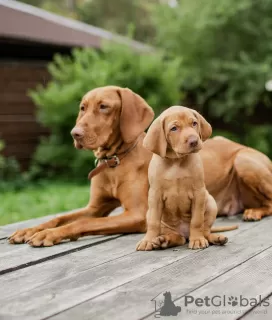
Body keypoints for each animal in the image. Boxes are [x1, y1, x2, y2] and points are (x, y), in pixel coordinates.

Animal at [8, 86, 154, 246]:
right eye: (83, 108)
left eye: (104, 106)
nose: (74, 133)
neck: (113, 162)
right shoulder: (94, 208)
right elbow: (59, 218)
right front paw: (29, 230)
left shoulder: (137, 214)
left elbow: (84, 222)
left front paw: (49, 233)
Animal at [137, 106, 228, 251]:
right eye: (174, 128)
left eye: (194, 123)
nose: (194, 141)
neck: (176, 162)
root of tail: (185, 233)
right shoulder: (155, 195)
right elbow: (153, 222)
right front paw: (148, 240)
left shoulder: (199, 193)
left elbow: (197, 220)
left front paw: (197, 240)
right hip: (155, 216)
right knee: (178, 238)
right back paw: (163, 240)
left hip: (210, 202)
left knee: (205, 231)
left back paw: (215, 238)